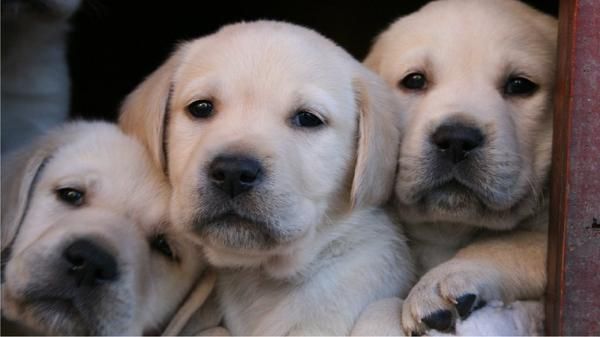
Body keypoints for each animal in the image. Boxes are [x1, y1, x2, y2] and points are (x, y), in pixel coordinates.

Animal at [366, 0, 556, 334]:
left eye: (519, 85)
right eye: (414, 80)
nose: (456, 139)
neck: (450, 228)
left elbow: (515, 242)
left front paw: (443, 279)